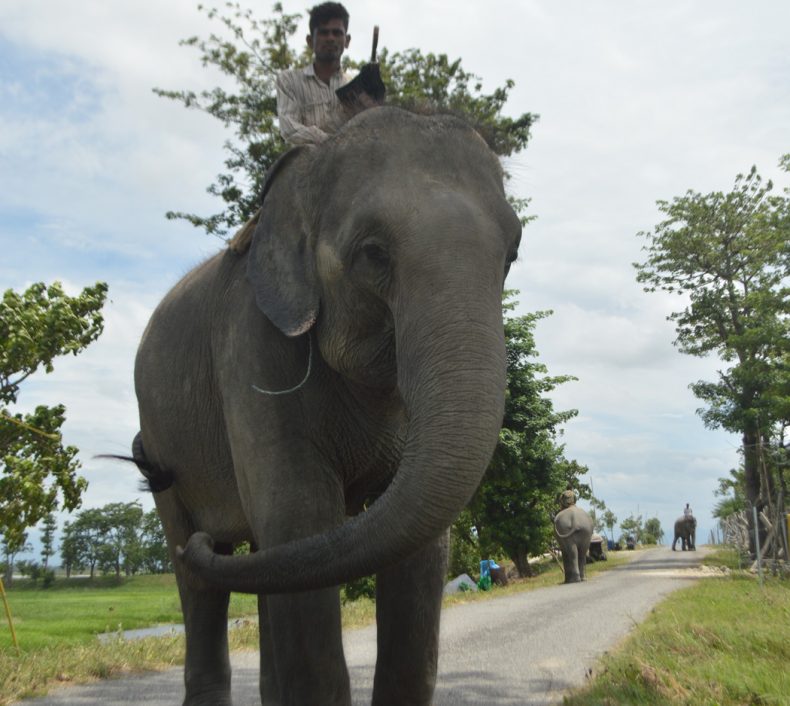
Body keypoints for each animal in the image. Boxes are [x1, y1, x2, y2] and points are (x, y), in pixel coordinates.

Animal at [132, 106, 522, 706]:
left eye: (512, 254)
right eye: (373, 252)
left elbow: (417, 550)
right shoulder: (250, 345)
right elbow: (300, 516)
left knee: (262, 562)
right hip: (159, 440)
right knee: (202, 582)